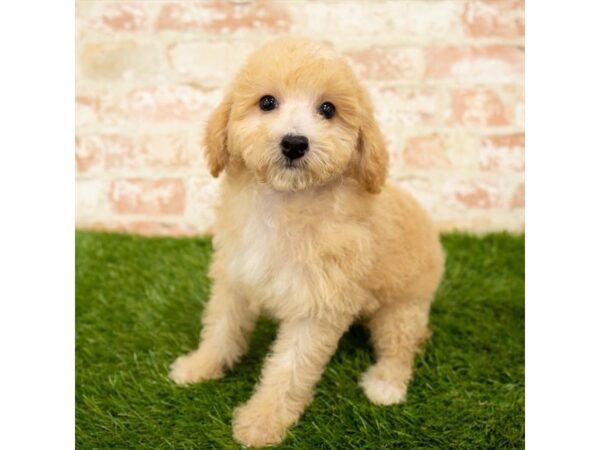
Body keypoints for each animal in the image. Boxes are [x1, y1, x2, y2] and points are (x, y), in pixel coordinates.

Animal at [170, 38, 446, 446]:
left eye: (327, 109)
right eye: (267, 102)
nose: (295, 143)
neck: (285, 201)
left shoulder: (318, 307)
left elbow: (290, 368)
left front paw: (262, 422)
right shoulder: (235, 276)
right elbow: (221, 327)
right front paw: (199, 367)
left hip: (402, 306)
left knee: (401, 345)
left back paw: (386, 385)